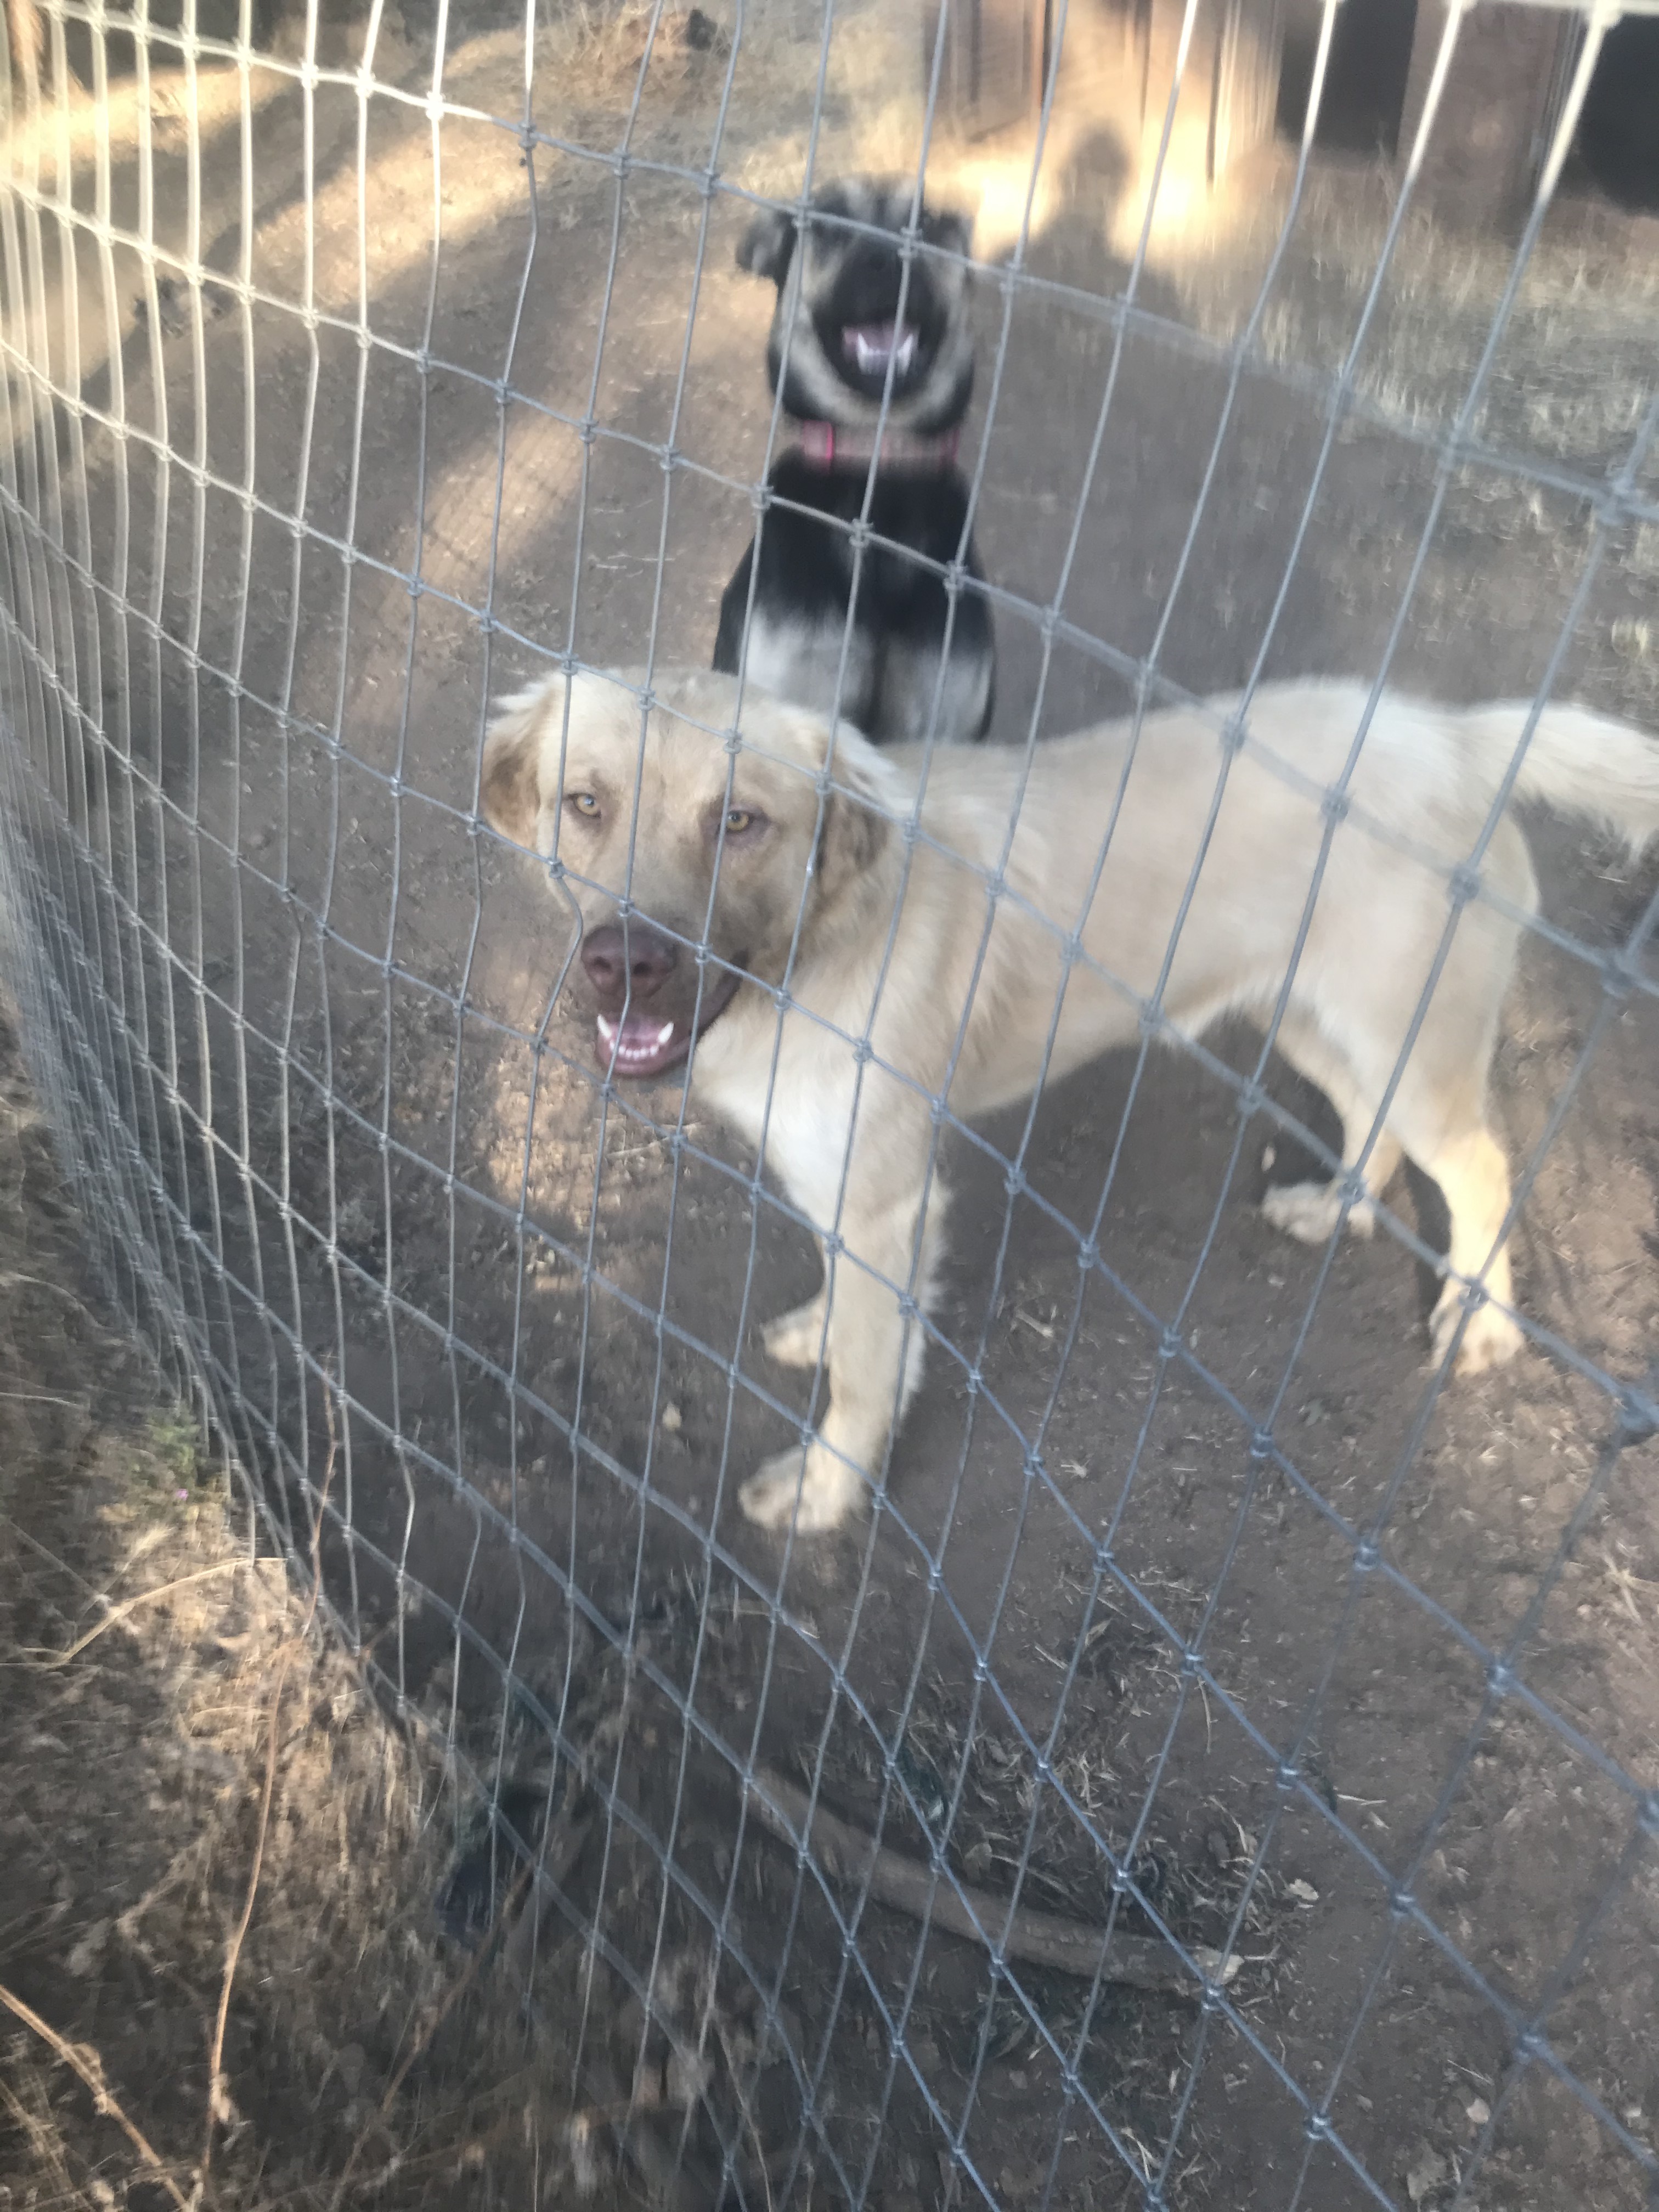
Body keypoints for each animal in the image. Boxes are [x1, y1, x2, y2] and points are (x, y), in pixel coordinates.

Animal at [479, 668, 1659, 1539]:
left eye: (738, 820)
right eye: (585, 803)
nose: (622, 964)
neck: (812, 946)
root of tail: (1454, 732)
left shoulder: (884, 1193)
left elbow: (863, 1371)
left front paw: (826, 1489)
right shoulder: (850, 1186)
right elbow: (855, 1307)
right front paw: (823, 1330)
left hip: (1406, 1045)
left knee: (1480, 1164)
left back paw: (1480, 1320)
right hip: (1309, 1018)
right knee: (1368, 1121)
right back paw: (1333, 1209)